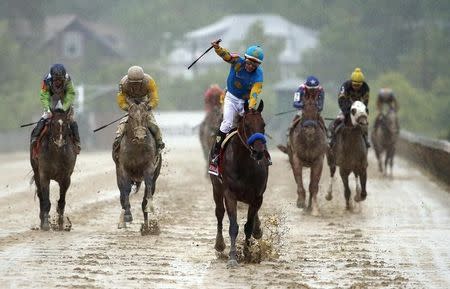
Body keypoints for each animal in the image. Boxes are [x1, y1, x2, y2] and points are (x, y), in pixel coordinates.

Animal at [113, 100, 163, 233]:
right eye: (131, 116)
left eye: (146, 116)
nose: (140, 136)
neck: (137, 148)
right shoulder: (123, 169)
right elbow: (125, 190)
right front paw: (127, 216)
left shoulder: (149, 167)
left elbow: (148, 187)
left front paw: (150, 208)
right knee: (122, 195)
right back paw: (123, 220)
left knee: (146, 195)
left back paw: (147, 226)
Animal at [210, 100, 268, 266]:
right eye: (247, 125)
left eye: (263, 125)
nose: (259, 152)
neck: (245, 165)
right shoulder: (230, 194)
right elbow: (233, 226)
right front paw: (232, 257)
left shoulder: (257, 197)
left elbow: (248, 226)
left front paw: (248, 253)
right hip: (216, 188)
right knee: (219, 212)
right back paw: (219, 244)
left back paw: (257, 229)